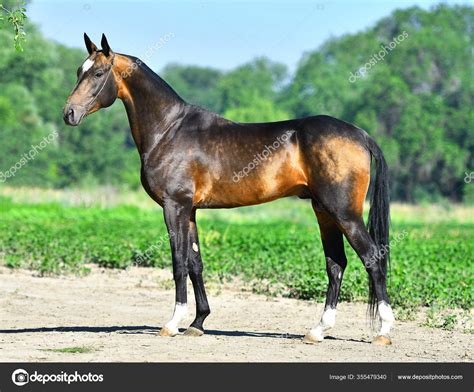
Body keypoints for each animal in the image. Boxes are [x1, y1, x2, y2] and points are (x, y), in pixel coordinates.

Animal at [64, 34, 396, 346]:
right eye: (80, 70)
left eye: (98, 73)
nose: (69, 113)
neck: (169, 130)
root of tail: (360, 134)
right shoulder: (191, 211)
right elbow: (195, 263)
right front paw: (198, 323)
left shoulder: (175, 206)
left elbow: (178, 262)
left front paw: (173, 323)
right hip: (324, 212)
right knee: (336, 264)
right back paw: (318, 330)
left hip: (344, 213)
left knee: (372, 258)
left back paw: (383, 331)